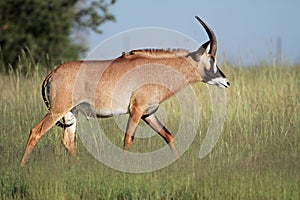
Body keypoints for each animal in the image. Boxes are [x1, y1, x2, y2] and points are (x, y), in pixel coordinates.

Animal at [20, 16, 230, 166]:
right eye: (212, 59)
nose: (226, 82)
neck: (156, 69)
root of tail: (52, 73)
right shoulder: (136, 111)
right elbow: (128, 139)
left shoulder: (148, 113)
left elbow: (168, 135)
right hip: (57, 110)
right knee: (35, 131)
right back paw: (22, 167)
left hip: (71, 114)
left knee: (68, 141)